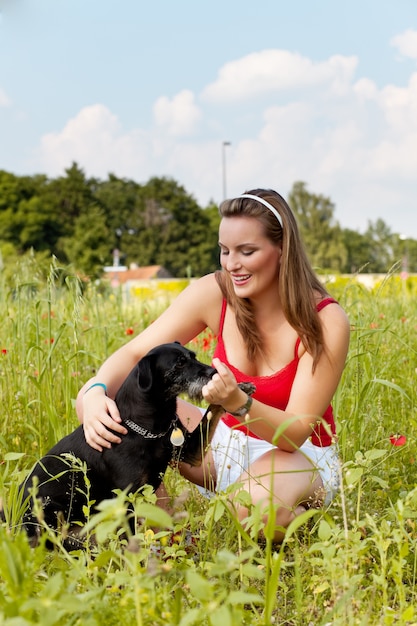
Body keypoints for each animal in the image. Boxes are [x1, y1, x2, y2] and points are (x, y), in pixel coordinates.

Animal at [20, 342, 228, 544]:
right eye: (179, 363)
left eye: (193, 357)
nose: (213, 372)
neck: (148, 428)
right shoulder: (125, 498)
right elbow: (129, 539)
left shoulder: (192, 451)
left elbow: (211, 413)